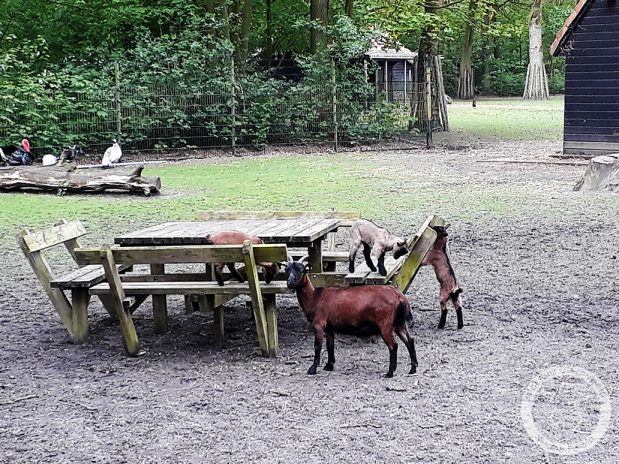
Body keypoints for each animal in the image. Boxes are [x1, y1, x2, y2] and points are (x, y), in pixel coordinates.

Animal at [288, 256, 418, 378]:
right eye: (287, 269)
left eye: (301, 270)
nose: (289, 283)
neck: (315, 297)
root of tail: (399, 296)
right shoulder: (329, 327)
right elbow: (330, 345)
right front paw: (329, 365)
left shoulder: (319, 323)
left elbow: (317, 346)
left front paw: (312, 369)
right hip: (399, 323)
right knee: (409, 340)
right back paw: (413, 368)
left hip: (385, 323)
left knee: (393, 346)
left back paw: (390, 372)